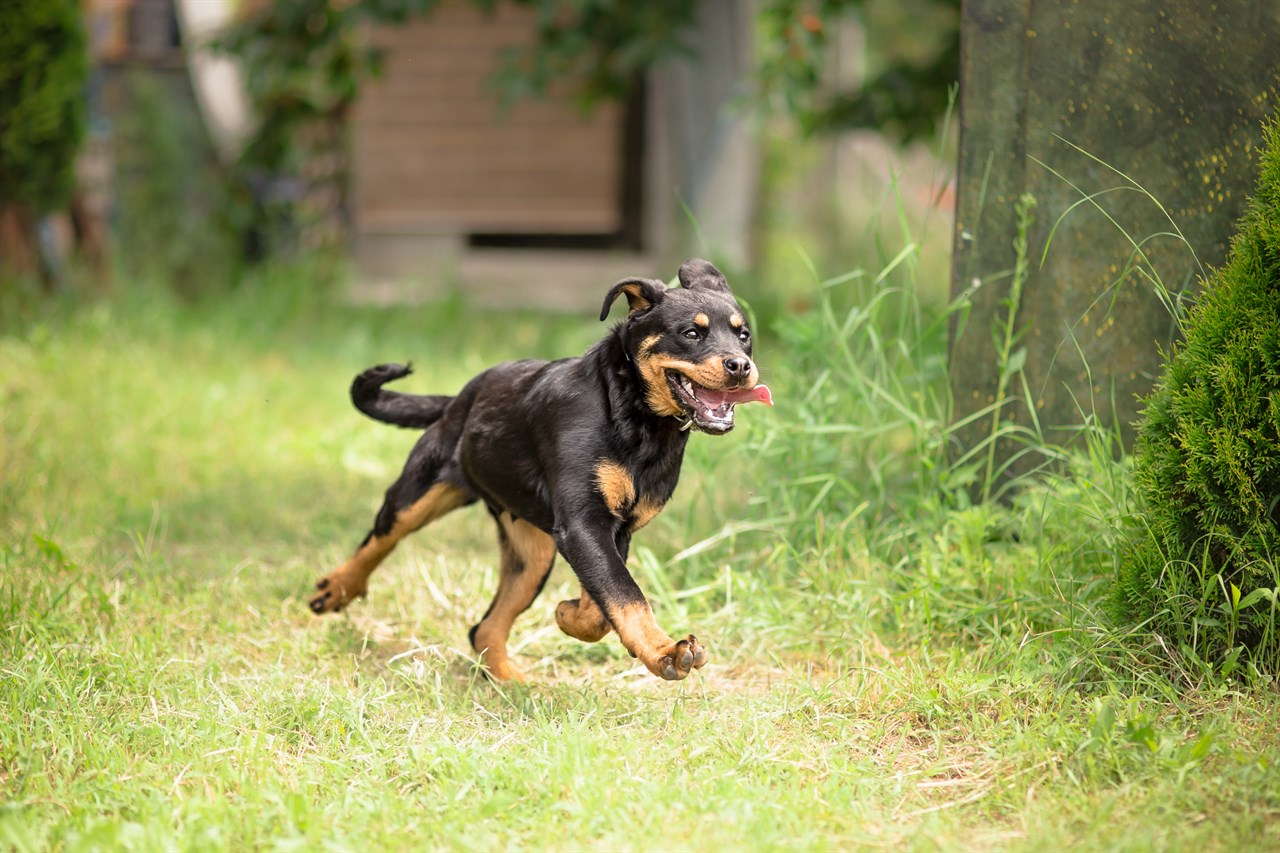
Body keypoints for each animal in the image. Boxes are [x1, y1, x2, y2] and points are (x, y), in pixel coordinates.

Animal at [307, 257, 768, 676]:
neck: (636, 415)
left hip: (532, 554)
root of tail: (457, 401)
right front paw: (665, 653)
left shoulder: (614, 530)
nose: (741, 366)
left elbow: (603, 605)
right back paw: (335, 590)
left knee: (484, 627)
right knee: (381, 538)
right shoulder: (583, 524)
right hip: (419, 491)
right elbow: (625, 593)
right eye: (691, 333)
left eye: (744, 336)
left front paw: (567, 615)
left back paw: (513, 684)